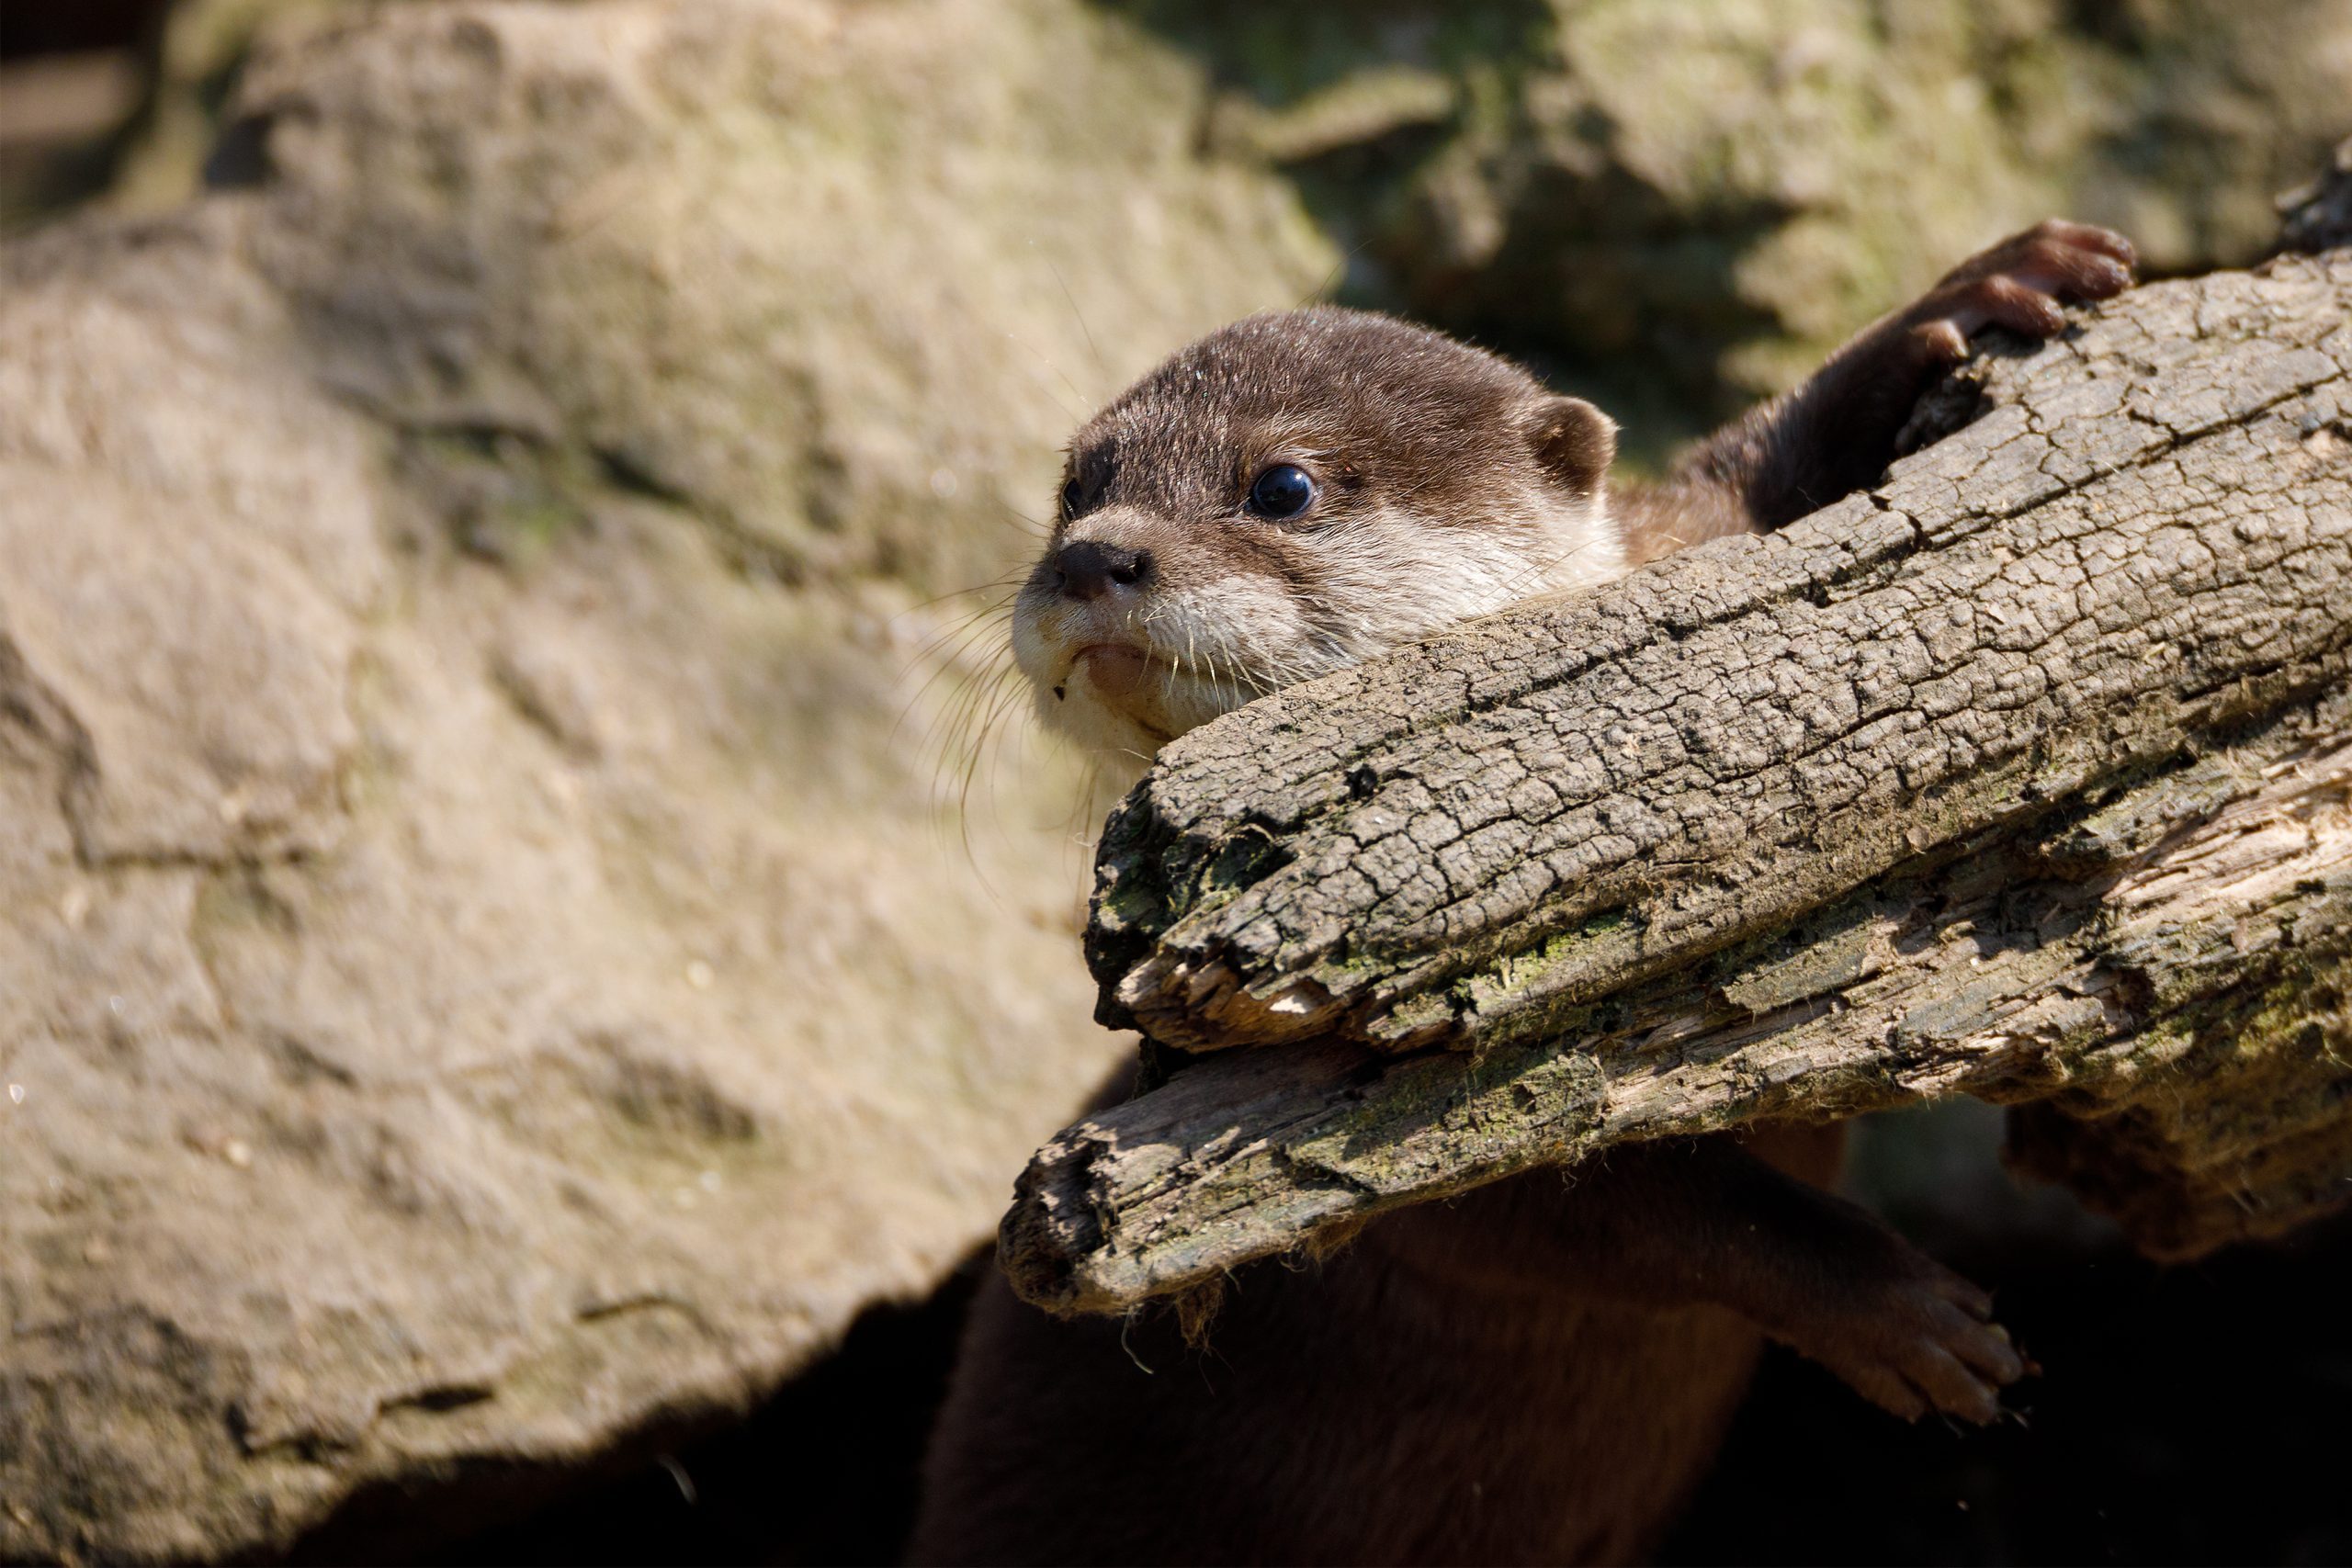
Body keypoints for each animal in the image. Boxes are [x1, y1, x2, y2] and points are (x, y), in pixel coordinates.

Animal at [908, 220, 2144, 1568]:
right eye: (1076, 488)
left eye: (1281, 485)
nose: (1090, 555)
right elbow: (1594, 1209)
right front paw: (1893, 1308)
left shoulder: (1682, 542)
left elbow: (1747, 479)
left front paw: (1976, 292)